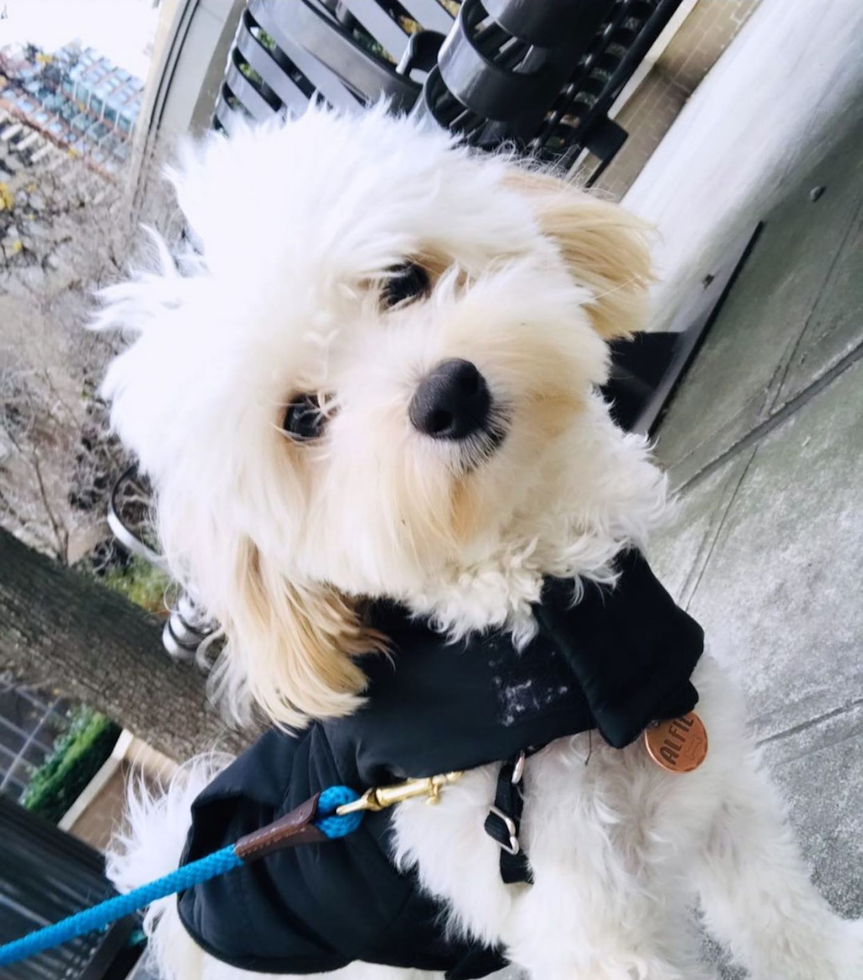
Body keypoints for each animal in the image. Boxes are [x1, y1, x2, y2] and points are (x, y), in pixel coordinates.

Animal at [99, 107, 856, 980]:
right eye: (302, 418)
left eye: (401, 279)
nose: (447, 393)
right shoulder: (583, 921)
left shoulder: (720, 790)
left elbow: (773, 912)